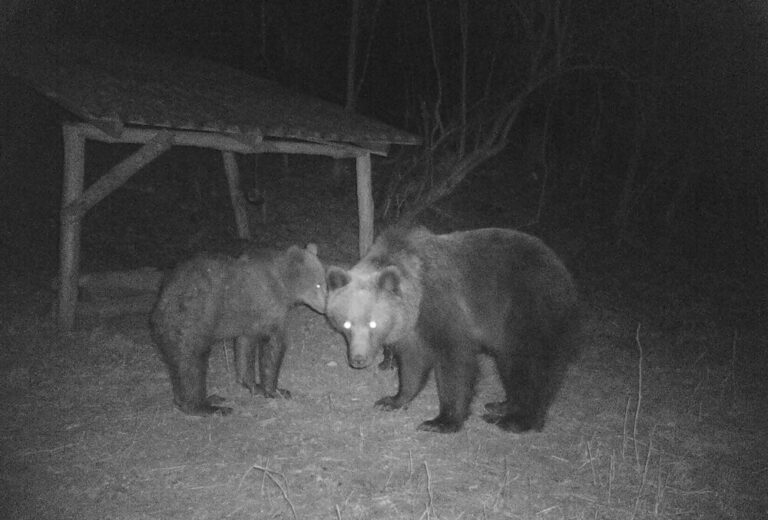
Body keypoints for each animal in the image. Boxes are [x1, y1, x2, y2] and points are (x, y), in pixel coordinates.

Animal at [152, 242, 326, 416]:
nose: (326, 306)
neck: (284, 286)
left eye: (324, 282)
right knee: (191, 363)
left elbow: (244, 349)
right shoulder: (267, 307)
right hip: (191, 320)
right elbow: (272, 347)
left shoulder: (249, 319)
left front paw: (253, 385)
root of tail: (162, 299)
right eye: (318, 284)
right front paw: (276, 390)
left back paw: (200, 399)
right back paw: (208, 407)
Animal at [328, 225, 580, 432]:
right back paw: (501, 404)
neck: (417, 298)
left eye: (373, 323)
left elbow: (455, 363)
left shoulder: (445, 307)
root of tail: (565, 274)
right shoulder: (413, 329)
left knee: (531, 367)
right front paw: (392, 400)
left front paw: (440, 421)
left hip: (531, 313)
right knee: (509, 366)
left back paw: (516, 420)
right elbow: (412, 364)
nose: (358, 359)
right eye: (347, 323)